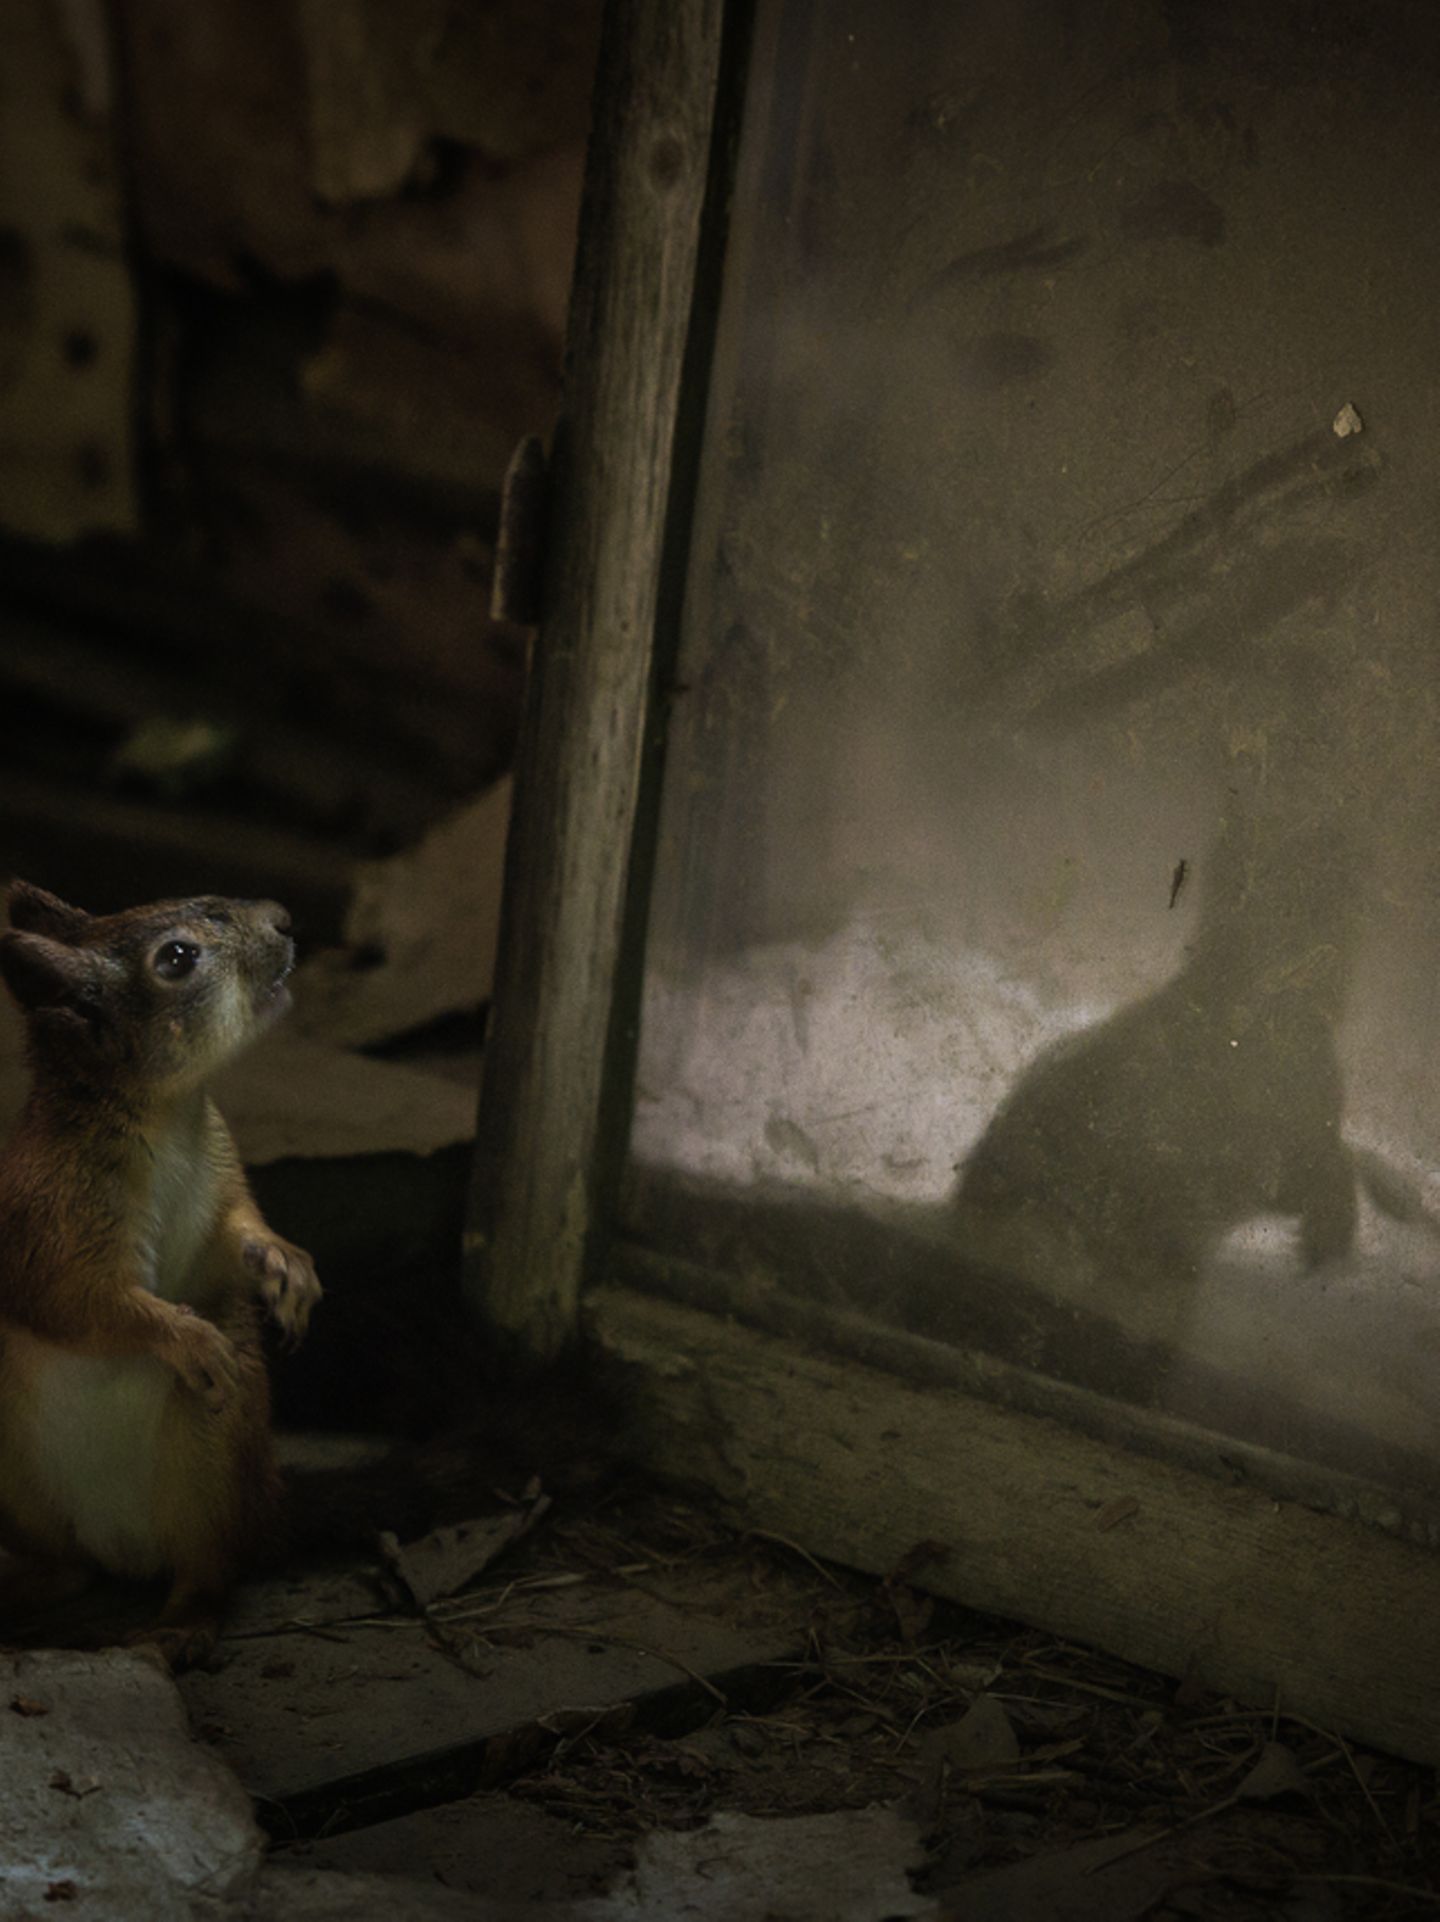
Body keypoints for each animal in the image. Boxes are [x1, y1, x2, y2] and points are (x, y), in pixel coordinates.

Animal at [0, 881, 321, 1666]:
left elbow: (240, 1232)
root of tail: (123, 1550)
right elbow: (88, 1304)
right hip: (20, 1484)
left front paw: (287, 1268)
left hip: (210, 1462)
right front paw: (188, 1339)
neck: (167, 1113)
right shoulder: (49, 1221)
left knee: (206, 1571)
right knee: (69, 1566)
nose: (283, 920)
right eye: (176, 959)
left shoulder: (224, 1185)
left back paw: (176, 1625)